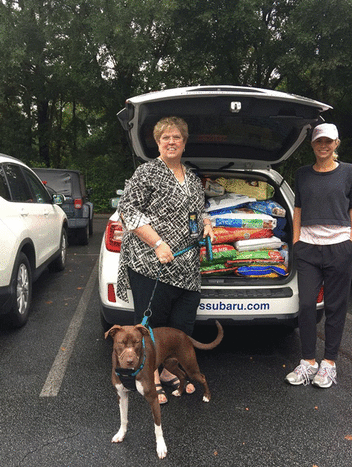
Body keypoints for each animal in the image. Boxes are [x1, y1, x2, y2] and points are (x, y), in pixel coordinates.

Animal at [104, 322, 223, 460]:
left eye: (137, 342)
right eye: (120, 343)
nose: (130, 361)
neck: (128, 372)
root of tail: (184, 334)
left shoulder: (153, 398)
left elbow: (157, 426)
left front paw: (161, 447)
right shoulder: (122, 395)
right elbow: (123, 418)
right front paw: (121, 434)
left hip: (190, 366)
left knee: (201, 377)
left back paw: (207, 396)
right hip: (170, 364)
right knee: (182, 375)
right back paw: (179, 391)